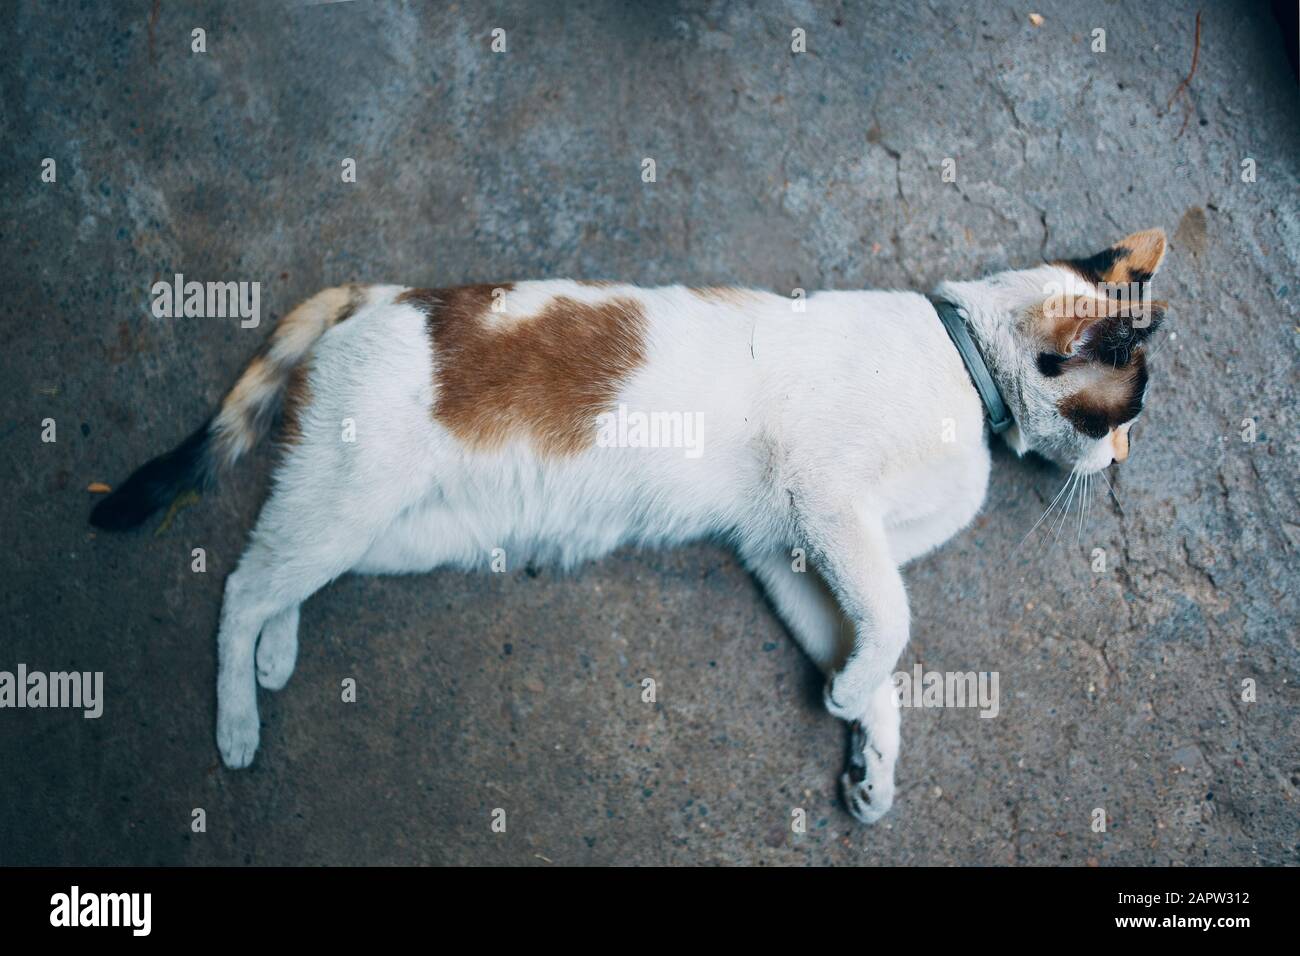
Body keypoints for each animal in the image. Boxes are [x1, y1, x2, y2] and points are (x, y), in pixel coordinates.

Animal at [94, 230, 1170, 822]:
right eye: (1122, 415)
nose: (1121, 467)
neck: (962, 358)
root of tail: (386, 291)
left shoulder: (790, 548)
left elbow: (873, 645)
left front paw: (869, 754)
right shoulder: (826, 504)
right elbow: (896, 620)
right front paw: (854, 701)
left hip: (394, 526)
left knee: (288, 573)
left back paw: (277, 656)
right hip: (354, 495)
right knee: (244, 581)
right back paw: (239, 716)